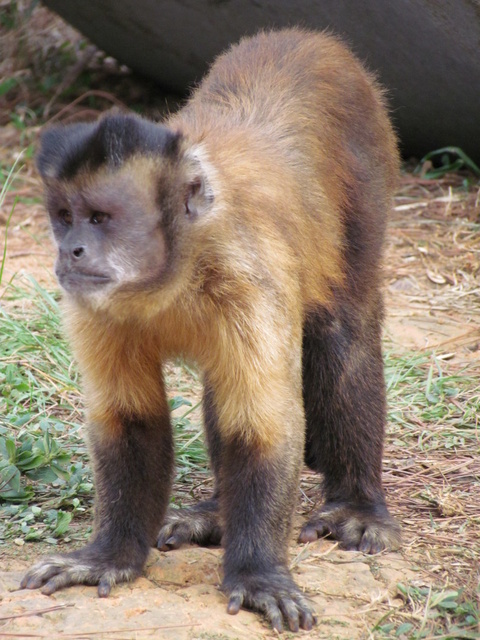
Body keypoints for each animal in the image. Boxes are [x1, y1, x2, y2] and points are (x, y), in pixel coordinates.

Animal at [21, 28, 402, 632]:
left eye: (100, 218)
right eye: (64, 217)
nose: (71, 249)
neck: (174, 273)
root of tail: (310, 38)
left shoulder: (249, 278)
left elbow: (265, 427)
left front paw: (257, 574)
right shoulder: (90, 304)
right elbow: (131, 420)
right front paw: (109, 556)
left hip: (370, 154)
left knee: (345, 327)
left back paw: (357, 503)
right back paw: (218, 515)